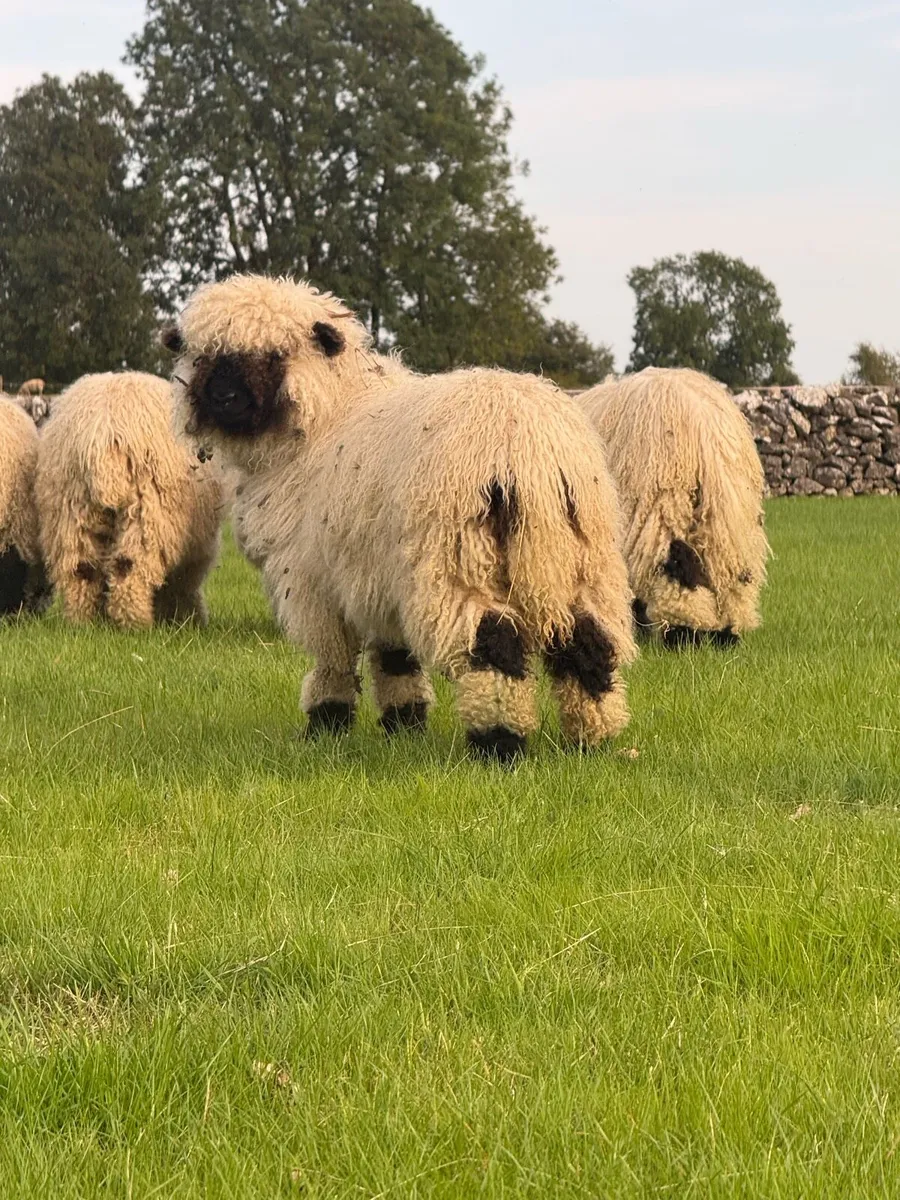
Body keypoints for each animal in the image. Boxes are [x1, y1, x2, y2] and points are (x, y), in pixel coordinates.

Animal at [36, 371, 225, 629]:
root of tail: (104, 433)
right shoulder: (196, 551)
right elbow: (184, 586)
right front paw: (189, 619)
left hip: (71, 510)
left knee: (81, 570)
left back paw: (83, 621)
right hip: (147, 511)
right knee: (128, 568)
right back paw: (136, 623)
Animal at [164, 274, 636, 762]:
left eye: (276, 355)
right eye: (204, 356)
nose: (224, 397)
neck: (328, 416)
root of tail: (529, 450)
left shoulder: (317, 580)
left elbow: (333, 658)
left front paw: (325, 725)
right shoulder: (377, 578)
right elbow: (394, 657)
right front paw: (404, 724)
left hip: (459, 561)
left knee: (492, 647)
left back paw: (499, 744)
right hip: (582, 561)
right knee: (589, 644)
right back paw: (594, 740)